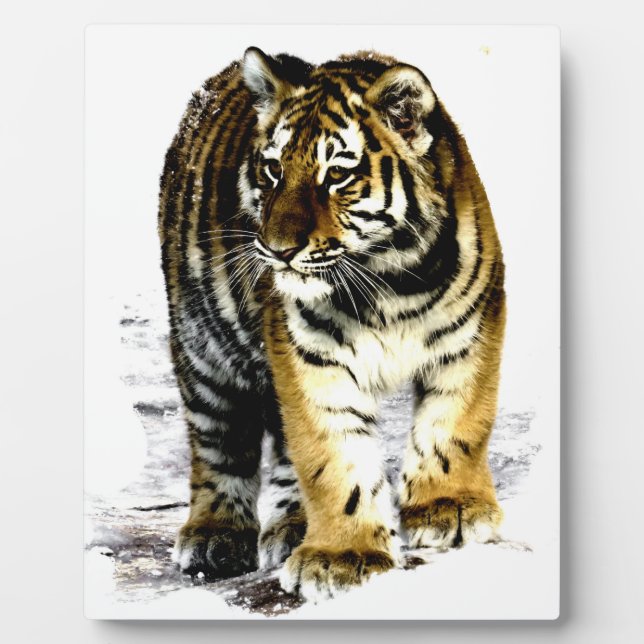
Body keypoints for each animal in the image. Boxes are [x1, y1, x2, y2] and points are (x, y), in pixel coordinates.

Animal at [157, 46, 506, 602]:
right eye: (273, 169)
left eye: (337, 176)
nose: (277, 250)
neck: (390, 278)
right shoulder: (309, 356)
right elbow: (333, 456)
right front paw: (343, 557)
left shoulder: (470, 332)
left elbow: (456, 424)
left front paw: (449, 509)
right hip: (203, 348)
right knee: (218, 441)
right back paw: (216, 536)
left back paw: (293, 526)